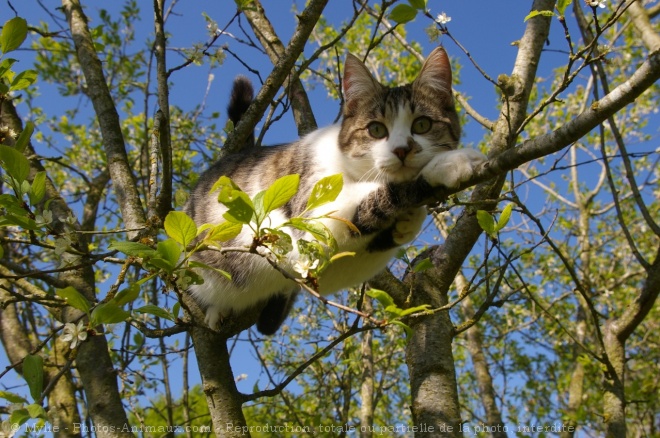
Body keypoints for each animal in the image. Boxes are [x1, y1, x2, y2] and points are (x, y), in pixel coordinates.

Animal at [184, 47, 484, 336]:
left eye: (422, 124)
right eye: (376, 130)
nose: (402, 150)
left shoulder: (337, 267)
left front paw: (406, 224)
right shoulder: (316, 214)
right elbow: (385, 194)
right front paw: (448, 164)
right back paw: (216, 309)